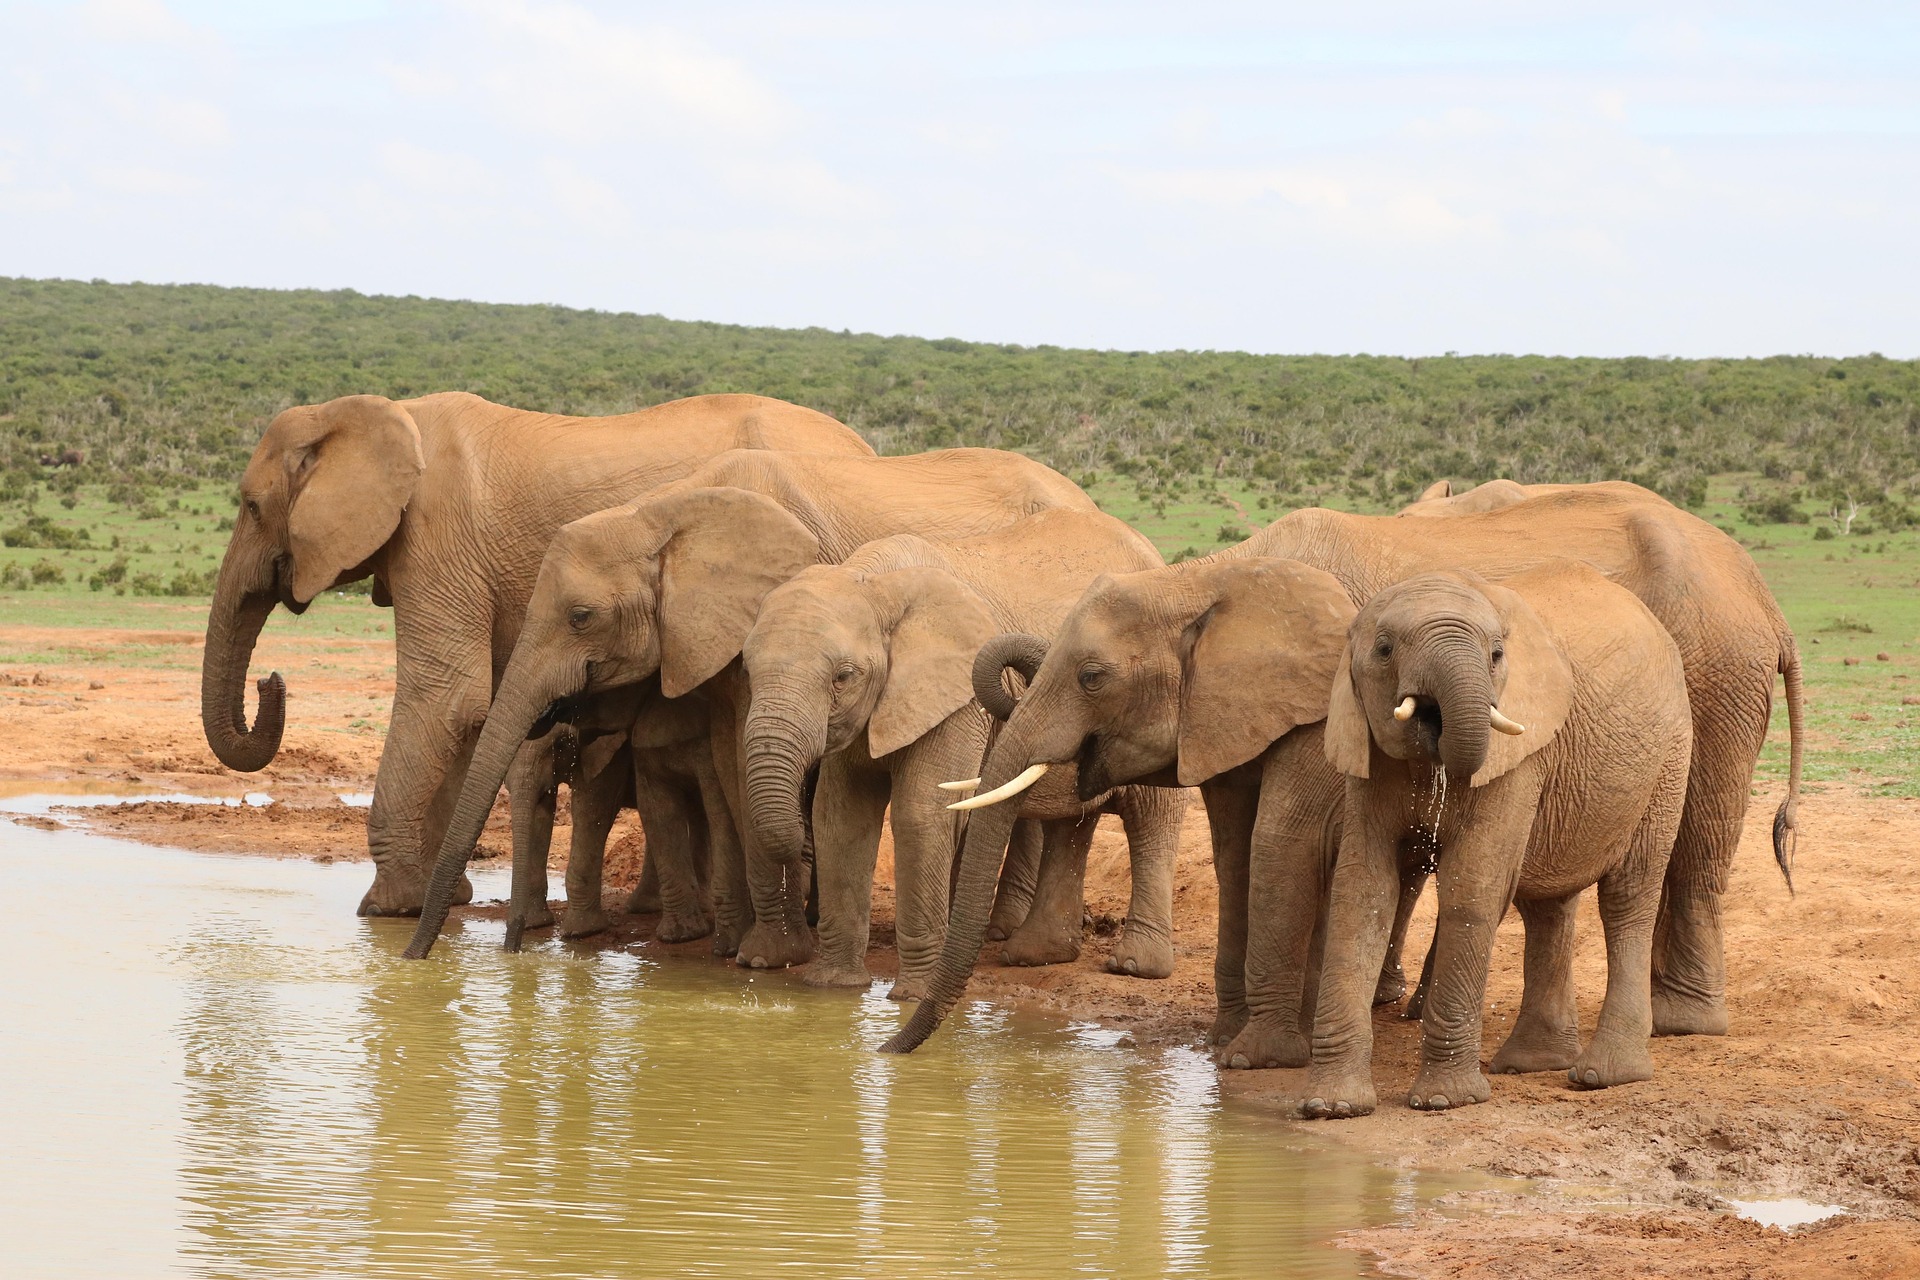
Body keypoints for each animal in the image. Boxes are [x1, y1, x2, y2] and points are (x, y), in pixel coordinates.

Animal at [194, 393, 871, 921]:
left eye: (251, 506)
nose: (271, 682)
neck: (378, 412)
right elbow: (470, 717)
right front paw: (446, 899)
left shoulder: (438, 533)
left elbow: (447, 697)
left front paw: (385, 908)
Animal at [397, 445, 1105, 967]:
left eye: (581, 617)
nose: (411, 959)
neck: (666, 512)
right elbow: (733, 773)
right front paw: (763, 948)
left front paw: (767, 952)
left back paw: (999, 936)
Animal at [737, 510, 1182, 997]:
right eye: (747, 669)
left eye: (843, 676)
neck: (875, 582)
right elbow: (839, 816)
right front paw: (833, 989)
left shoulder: (959, 700)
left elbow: (921, 812)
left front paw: (910, 996)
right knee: (1072, 824)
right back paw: (1034, 956)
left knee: (1152, 817)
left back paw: (1135, 966)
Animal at [879, 556, 1359, 1059]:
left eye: (1091, 678)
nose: (884, 1051)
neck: (1199, 582)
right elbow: (1233, 854)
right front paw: (1227, 1041)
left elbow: (1275, 845)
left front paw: (1247, 1055)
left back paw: (1132, 968)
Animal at [1305, 564, 1697, 1113]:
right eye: (1383, 649)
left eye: (1496, 656)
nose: (1435, 726)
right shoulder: (1367, 751)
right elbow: (1364, 891)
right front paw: (1333, 1107)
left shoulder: (1519, 756)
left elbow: (1472, 885)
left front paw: (1445, 1102)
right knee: (1547, 906)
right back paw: (1534, 1063)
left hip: (1667, 758)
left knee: (1627, 896)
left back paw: (1604, 1074)